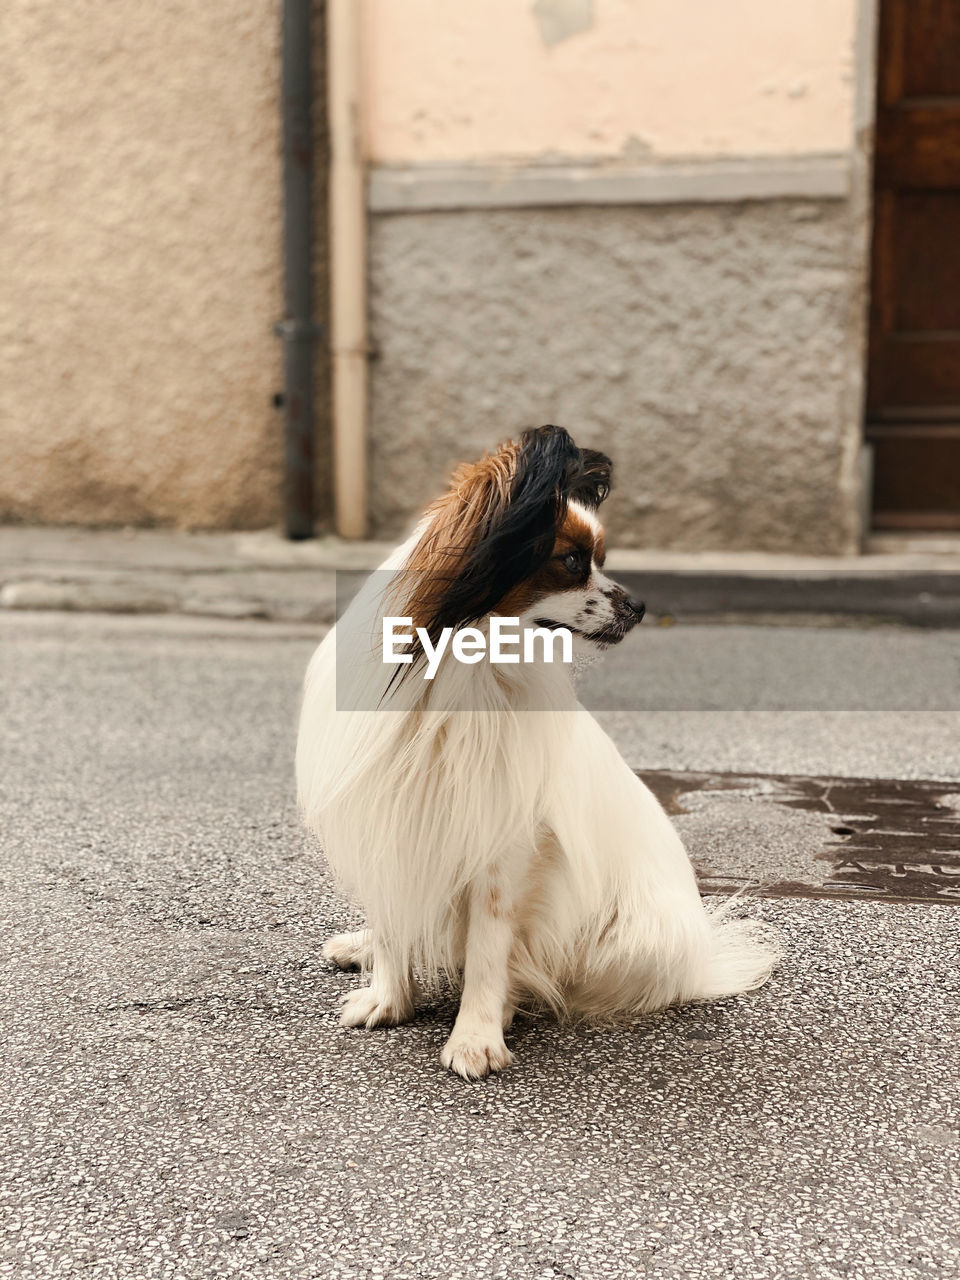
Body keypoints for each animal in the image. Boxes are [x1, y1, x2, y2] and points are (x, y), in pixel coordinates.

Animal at [299, 424, 783, 1075]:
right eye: (573, 561)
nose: (641, 608)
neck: (462, 671)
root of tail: (701, 957)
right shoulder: (390, 817)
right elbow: (396, 921)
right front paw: (389, 997)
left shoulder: (504, 843)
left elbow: (489, 947)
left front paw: (476, 1035)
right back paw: (362, 946)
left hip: (629, 943)